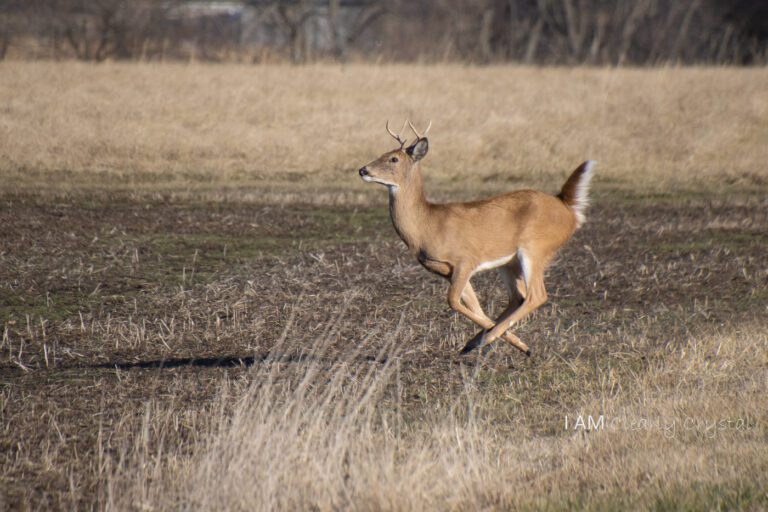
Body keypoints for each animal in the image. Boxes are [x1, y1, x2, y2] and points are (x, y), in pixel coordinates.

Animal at [356, 121, 596, 356]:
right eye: (383, 152)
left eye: (393, 158)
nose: (363, 169)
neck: (427, 226)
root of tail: (567, 209)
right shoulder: (448, 271)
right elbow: (475, 306)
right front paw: (482, 342)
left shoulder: (465, 260)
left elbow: (453, 301)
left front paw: (490, 341)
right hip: (509, 262)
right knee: (517, 297)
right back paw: (487, 342)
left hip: (536, 248)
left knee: (536, 295)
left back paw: (492, 341)